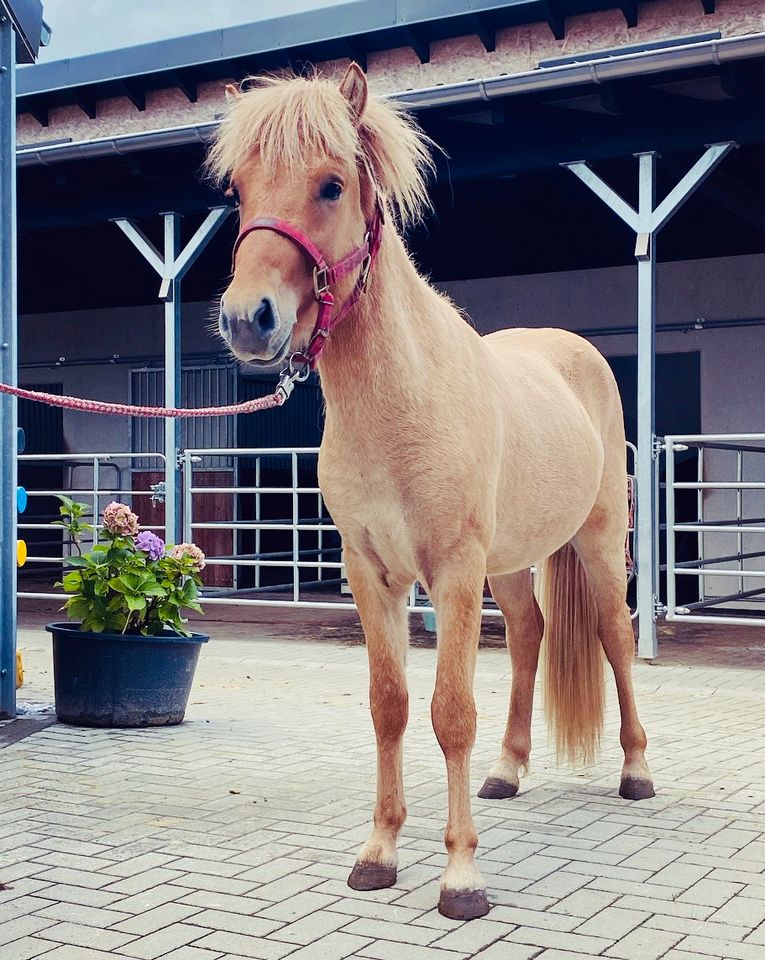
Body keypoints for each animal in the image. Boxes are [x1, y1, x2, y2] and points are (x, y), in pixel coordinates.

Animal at [206, 65, 652, 924]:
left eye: (331, 184)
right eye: (239, 190)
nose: (249, 322)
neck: (401, 402)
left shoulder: (450, 572)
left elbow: (450, 712)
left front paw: (461, 878)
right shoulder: (372, 574)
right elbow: (390, 704)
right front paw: (378, 854)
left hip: (595, 542)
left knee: (613, 638)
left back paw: (636, 772)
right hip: (508, 564)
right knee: (529, 633)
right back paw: (506, 773)